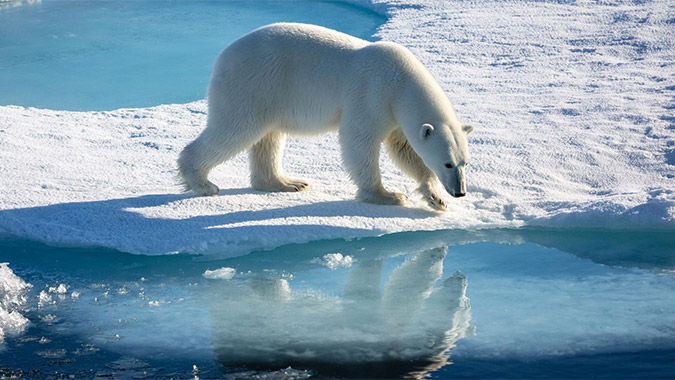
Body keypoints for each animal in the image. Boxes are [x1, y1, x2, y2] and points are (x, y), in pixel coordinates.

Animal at [180, 22, 476, 212]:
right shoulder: (373, 94)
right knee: (235, 129)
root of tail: (223, 56)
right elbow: (359, 140)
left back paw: (286, 182)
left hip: (271, 94)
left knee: (269, 137)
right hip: (255, 83)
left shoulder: (396, 114)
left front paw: (436, 198)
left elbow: (405, 150)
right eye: (448, 164)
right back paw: (203, 183)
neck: (401, 80)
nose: (460, 191)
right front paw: (388, 196)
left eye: (465, 163)